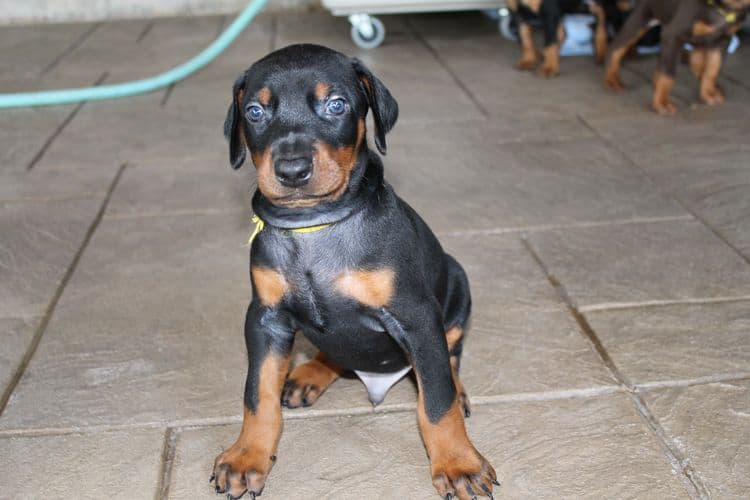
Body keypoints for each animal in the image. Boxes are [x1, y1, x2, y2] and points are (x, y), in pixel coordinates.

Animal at [210, 44, 500, 500]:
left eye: (337, 104)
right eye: (255, 112)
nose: (292, 171)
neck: (314, 226)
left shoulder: (416, 318)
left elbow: (437, 402)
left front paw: (459, 464)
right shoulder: (265, 318)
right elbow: (257, 394)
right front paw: (246, 456)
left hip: (456, 282)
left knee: (449, 358)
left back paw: (459, 389)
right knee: (334, 352)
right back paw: (308, 374)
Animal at [608, 0, 748, 114]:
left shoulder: (722, 41)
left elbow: (712, 69)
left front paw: (709, 93)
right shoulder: (673, 35)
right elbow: (668, 74)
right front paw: (662, 102)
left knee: (692, 62)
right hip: (641, 17)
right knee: (616, 47)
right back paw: (612, 80)